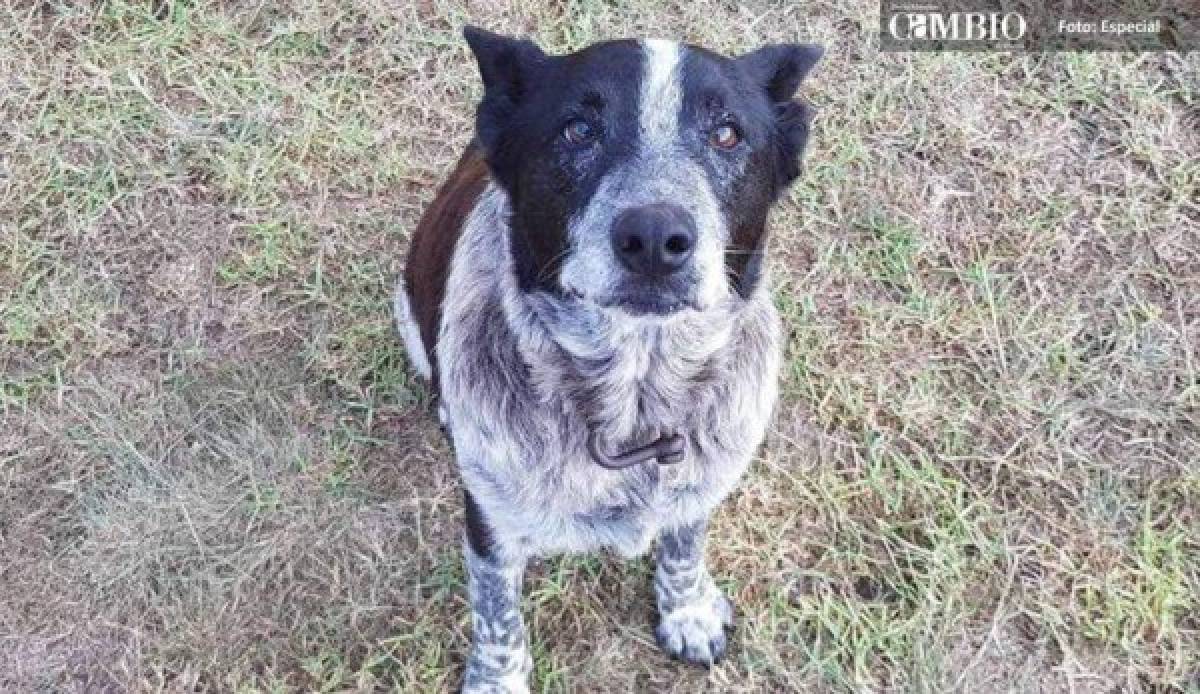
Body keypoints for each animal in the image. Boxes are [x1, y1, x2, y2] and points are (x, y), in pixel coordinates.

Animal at [398, 24, 820, 686]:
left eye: (727, 133)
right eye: (578, 130)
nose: (654, 237)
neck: (633, 401)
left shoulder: (699, 483)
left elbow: (683, 546)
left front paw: (687, 611)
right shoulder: (492, 521)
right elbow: (497, 614)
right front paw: (498, 680)